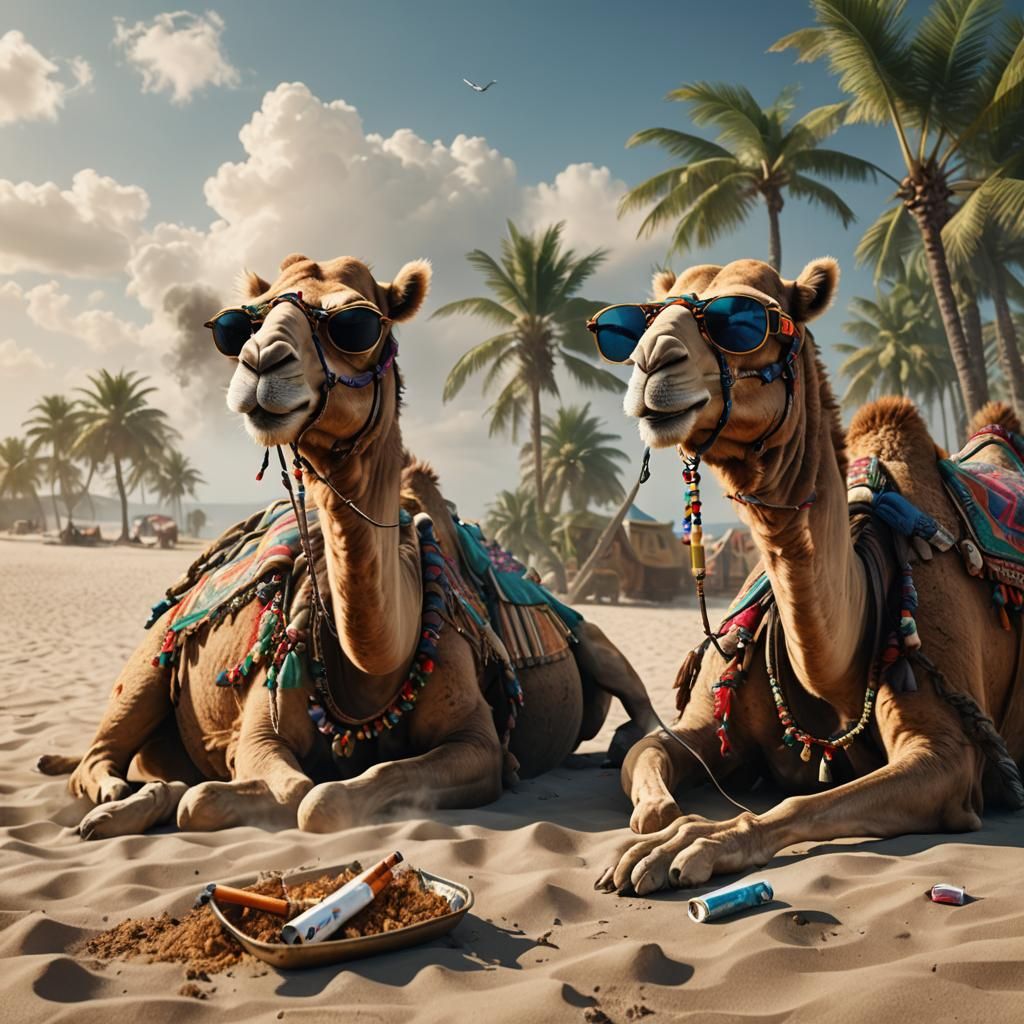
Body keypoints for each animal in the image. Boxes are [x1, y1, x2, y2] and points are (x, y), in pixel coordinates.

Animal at [42, 253, 656, 839]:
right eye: (241, 323)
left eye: (358, 324)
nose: (261, 361)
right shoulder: (261, 729)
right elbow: (274, 789)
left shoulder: (478, 744)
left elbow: (326, 799)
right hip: (150, 659)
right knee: (99, 761)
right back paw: (113, 801)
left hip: (591, 637)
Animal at [594, 256, 1024, 896]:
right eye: (637, 323)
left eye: (746, 318)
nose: (652, 362)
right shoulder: (709, 722)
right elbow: (644, 751)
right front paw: (662, 822)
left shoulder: (948, 755)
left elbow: (797, 804)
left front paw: (689, 843)